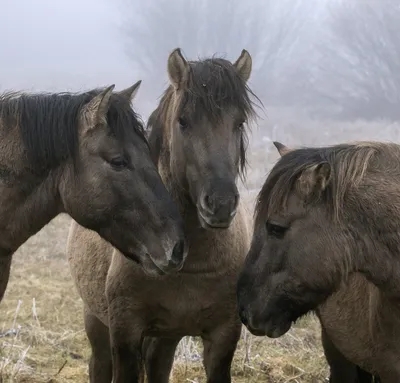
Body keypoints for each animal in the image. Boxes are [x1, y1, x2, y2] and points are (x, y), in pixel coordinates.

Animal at [67, 46, 258, 382]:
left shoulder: (223, 337)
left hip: (166, 337)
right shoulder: (125, 333)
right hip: (97, 321)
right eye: (183, 121)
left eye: (239, 122)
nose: (220, 204)